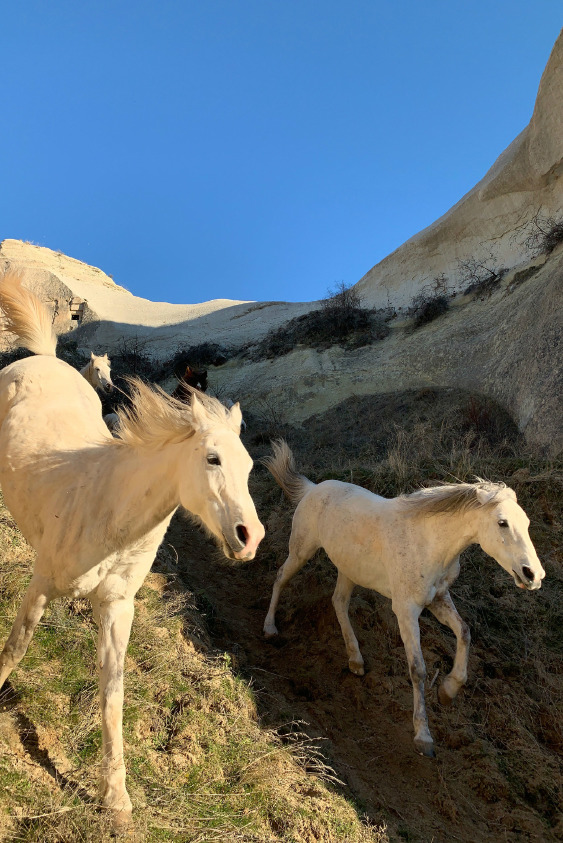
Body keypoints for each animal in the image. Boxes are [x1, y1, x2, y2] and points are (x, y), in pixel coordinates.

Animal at [0, 272, 266, 832]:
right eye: (212, 458)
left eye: (252, 465)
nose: (250, 538)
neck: (108, 506)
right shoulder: (42, 584)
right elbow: (15, 648)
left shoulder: (117, 608)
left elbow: (113, 696)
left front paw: (116, 800)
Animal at [264, 442, 548, 760]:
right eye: (502, 523)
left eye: (526, 523)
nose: (534, 575)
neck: (428, 542)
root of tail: (312, 489)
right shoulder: (406, 610)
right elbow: (418, 669)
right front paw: (423, 737)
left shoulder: (438, 599)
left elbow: (464, 632)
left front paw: (448, 691)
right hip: (301, 550)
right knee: (280, 578)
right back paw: (270, 629)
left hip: (349, 569)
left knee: (338, 602)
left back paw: (355, 660)